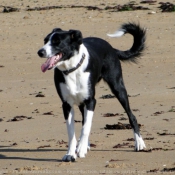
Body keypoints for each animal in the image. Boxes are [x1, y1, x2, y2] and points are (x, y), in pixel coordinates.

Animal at [38, 22, 146, 162]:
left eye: (57, 42)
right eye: (45, 41)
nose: (40, 52)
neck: (72, 69)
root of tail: (110, 47)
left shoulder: (91, 101)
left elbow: (86, 127)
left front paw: (81, 149)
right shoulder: (66, 105)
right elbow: (71, 131)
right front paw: (71, 153)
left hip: (118, 87)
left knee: (131, 116)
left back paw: (139, 143)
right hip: (81, 102)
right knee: (84, 119)